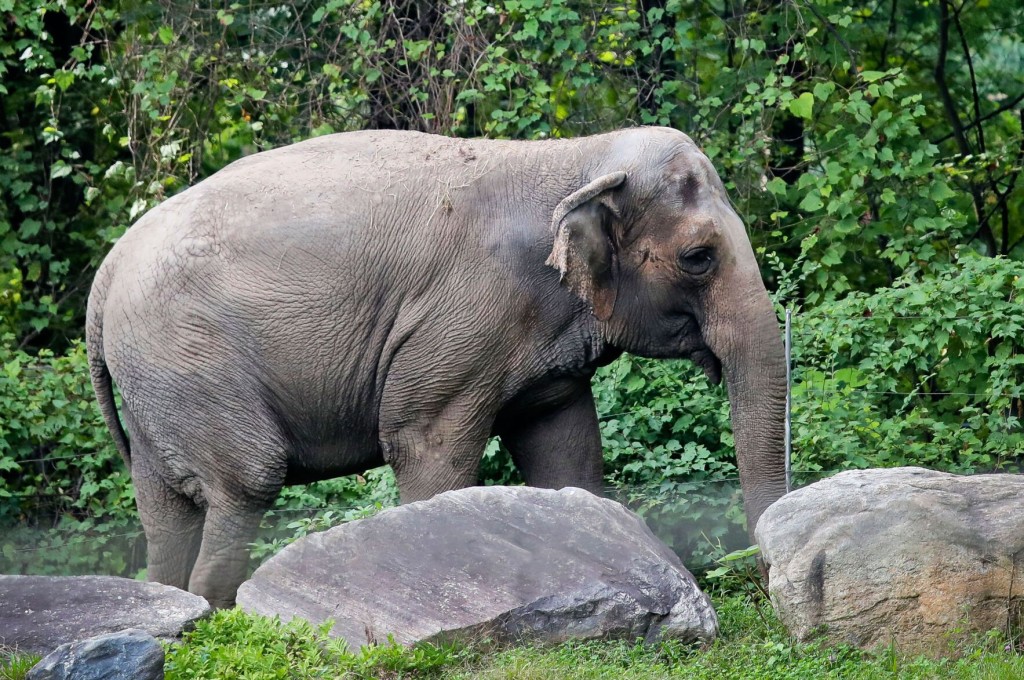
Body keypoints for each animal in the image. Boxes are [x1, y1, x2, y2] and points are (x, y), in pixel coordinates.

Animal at [86, 126, 786, 608]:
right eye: (698, 257)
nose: (761, 577)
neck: (573, 158)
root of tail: (106, 273)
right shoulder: (462, 320)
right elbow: (427, 445)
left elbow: (567, 454)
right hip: (190, 360)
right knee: (245, 483)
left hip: (155, 383)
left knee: (165, 510)